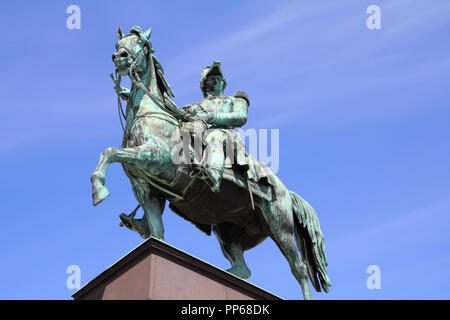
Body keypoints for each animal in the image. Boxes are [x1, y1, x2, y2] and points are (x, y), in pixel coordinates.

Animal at [90, 25, 330, 300]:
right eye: (119, 43)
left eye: (140, 43)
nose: (119, 57)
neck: (151, 112)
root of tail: (287, 192)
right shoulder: (145, 187)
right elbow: (156, 230)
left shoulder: (154, 156)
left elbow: (110, 152)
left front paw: (99, 189)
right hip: (226, 228)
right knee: (242, 269)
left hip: (279, 226)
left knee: (299, 268)